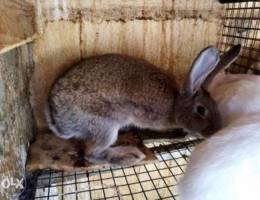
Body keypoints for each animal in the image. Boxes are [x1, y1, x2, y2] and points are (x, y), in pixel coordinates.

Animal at [45, 46, 223, 166]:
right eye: (201, 110)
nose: (217, 131)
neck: (175, 104)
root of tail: (58, 122)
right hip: (105, 126)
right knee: (91, 153)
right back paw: (129, 155)